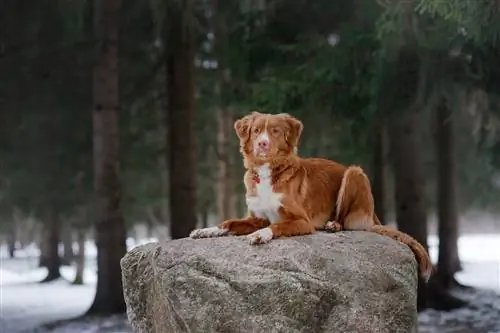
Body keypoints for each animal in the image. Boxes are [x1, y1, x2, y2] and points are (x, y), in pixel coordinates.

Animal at [189, 111, 432, 280]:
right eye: (256, 131)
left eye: (275, 131)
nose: (262, 144)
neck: (270, 171)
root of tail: (373, 215)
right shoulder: (256, 217)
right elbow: (229, 222)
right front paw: (206, 230)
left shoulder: (302, 221)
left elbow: (277, 225)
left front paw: (261, 235)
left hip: (355, 173)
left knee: (346, 221)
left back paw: (333, 224)